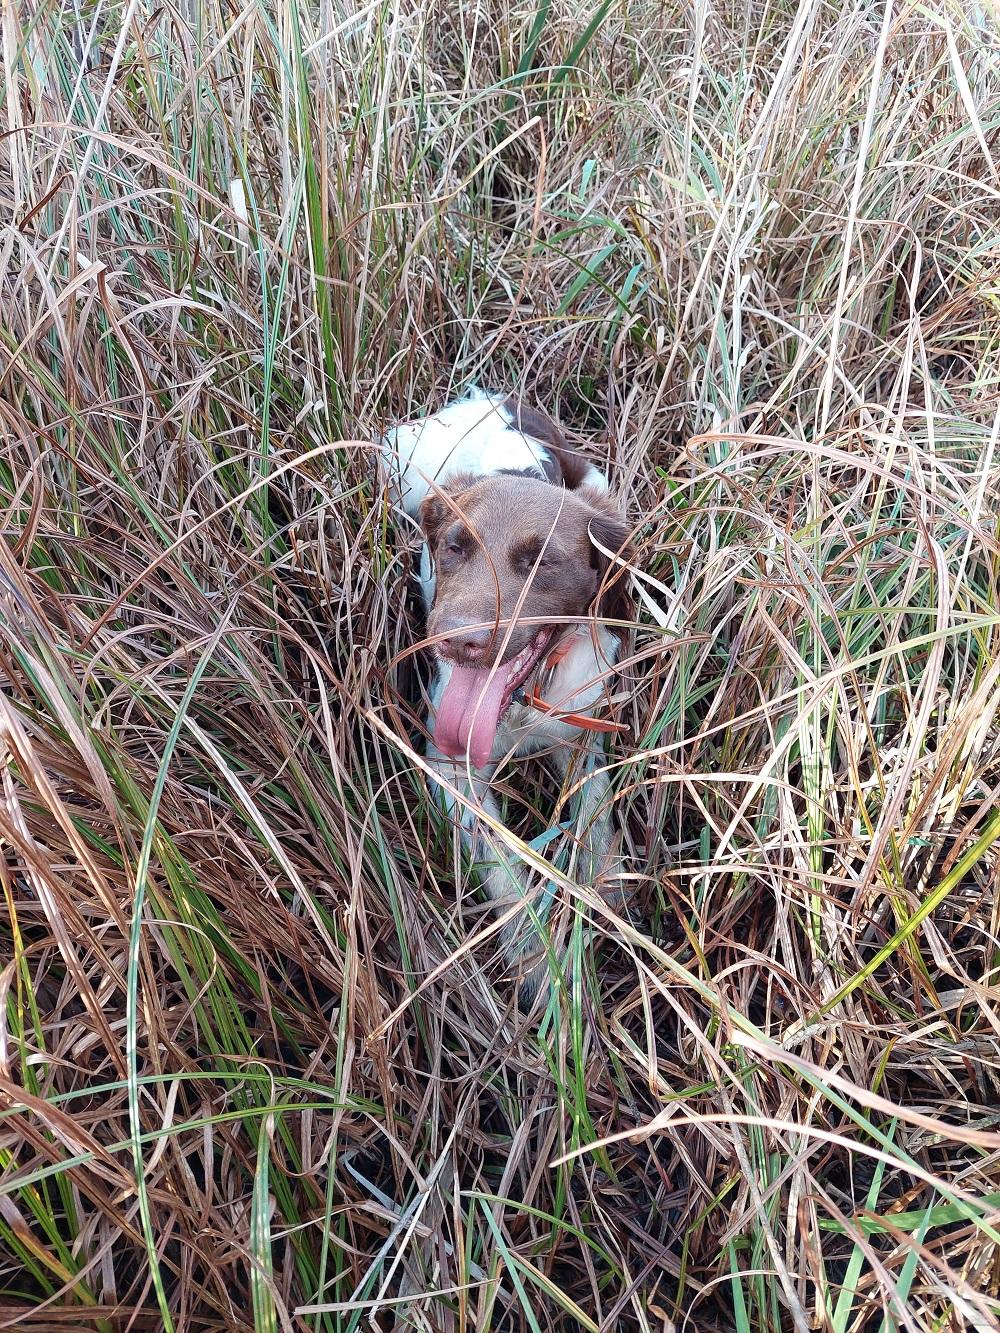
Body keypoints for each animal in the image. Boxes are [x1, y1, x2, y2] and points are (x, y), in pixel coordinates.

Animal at [386, 389, 634, 997]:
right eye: (454, 547)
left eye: (541, 560)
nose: (456, 640)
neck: (522, 703)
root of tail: (488, 398)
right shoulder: (450, 763)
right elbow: (503, 867)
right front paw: (540, 969)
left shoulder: (580, 731)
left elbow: (596, 818)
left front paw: (608, 894)